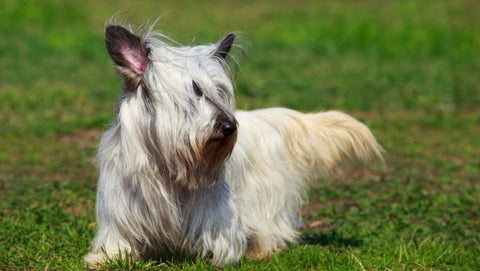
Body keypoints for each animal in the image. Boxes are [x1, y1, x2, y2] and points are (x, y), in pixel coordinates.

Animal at [83, 21, 382, 268]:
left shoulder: (214, 211)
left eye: (219, 91)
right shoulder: (122, 207)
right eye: (195, 91)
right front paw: (105, 258)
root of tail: (265, 119)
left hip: (266, 196)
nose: (229, 127)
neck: (168, 165)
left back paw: (260, 251)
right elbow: (119, 239)